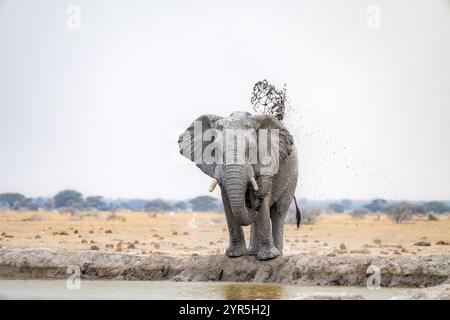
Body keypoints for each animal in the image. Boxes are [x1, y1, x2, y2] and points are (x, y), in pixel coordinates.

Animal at [178, 110, 300, 260]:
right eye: (216, 151)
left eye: (249, 150)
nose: (257, 202)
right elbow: (227, 202)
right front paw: (234, 255)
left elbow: (262, 205)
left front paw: (268, 257)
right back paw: (252, 253)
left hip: (292, 179)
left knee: (278, 213)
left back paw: (277, 255)